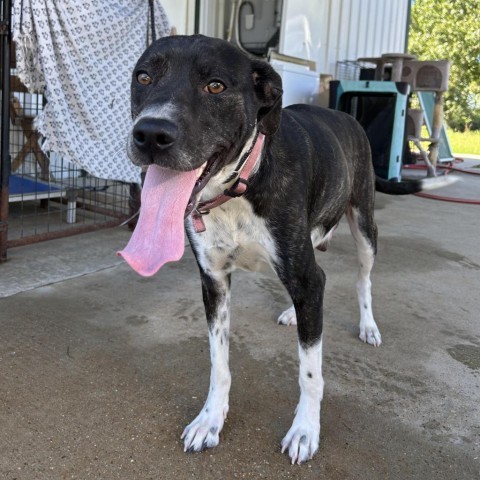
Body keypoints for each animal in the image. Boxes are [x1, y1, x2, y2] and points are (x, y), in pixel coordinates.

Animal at [119, 35, 454, 464]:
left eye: (216, 86)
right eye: (144, 77)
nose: (150, 134)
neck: (239, 188)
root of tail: (345, 116)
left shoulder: (307, 277)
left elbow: (310, 372)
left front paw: (305, 430)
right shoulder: (214, 281)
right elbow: (219, 362)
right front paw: (211, 419)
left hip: (364, 226)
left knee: (362, 279)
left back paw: (367, 325)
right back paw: (294, 313)